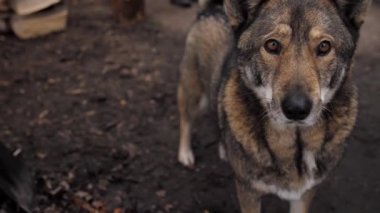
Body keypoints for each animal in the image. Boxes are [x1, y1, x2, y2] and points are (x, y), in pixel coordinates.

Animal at [178, 0, 372, 213]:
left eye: (324, 46)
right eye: (272, 45)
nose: (296, 109)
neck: (295, 145)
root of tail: (211, 9)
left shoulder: (304, 195)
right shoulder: (248, 193)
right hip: (196, 98)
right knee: (186, 119)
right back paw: (185, 154)